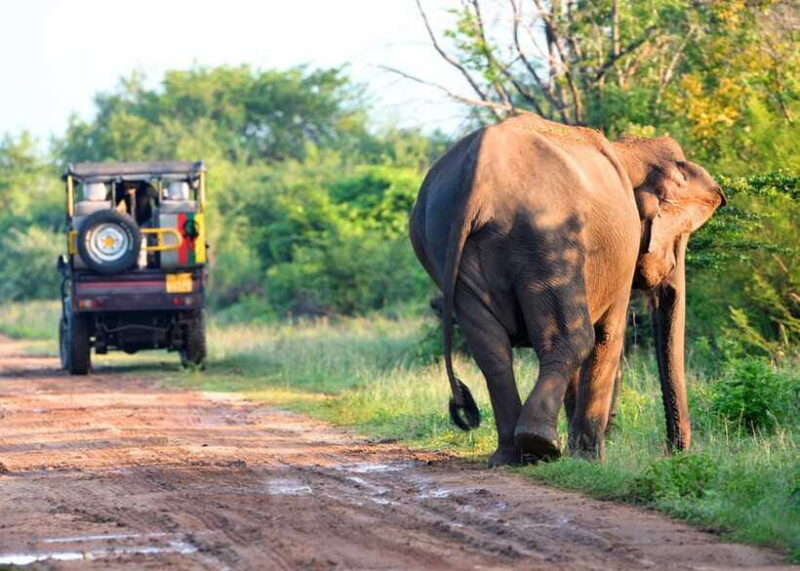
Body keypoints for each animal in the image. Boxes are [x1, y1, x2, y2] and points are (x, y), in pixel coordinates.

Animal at [409, 114, 725, 466]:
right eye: (681, 235)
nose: (672, 452)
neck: (627, 150)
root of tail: (475, 178)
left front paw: (578, 457)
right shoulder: (622, 252)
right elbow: (608, 335)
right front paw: (589, 460)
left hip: (444, 241)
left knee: (492, 350)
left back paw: (512, 457)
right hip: (547, 235)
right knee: (575, 338)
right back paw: (539, 445)